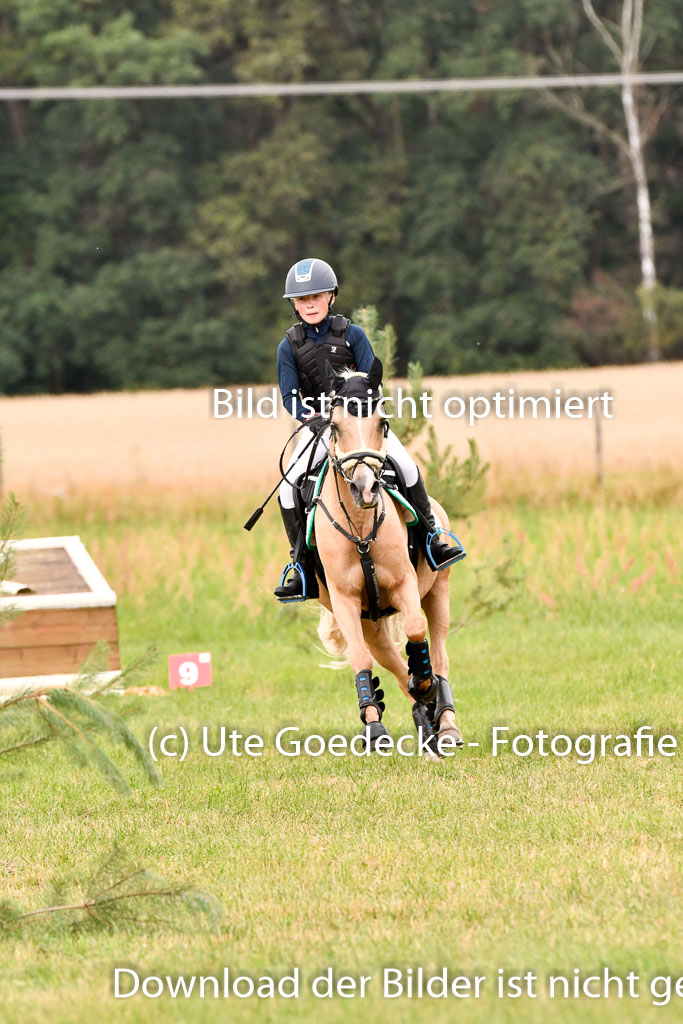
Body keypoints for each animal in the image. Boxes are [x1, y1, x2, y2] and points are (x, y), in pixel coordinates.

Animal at [311, 358, 462, 753]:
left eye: (383, 423)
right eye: (335, 426)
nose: (365, 489)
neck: (362, 530)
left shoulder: (404, 584)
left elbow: (415, 630)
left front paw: (425, 685)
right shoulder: (346, 601)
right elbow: (361, 658)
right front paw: (374, 724)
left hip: (438, 591)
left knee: (438, 652)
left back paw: (444, 717)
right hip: (371, 621)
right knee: (390, 661)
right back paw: (421, 714)